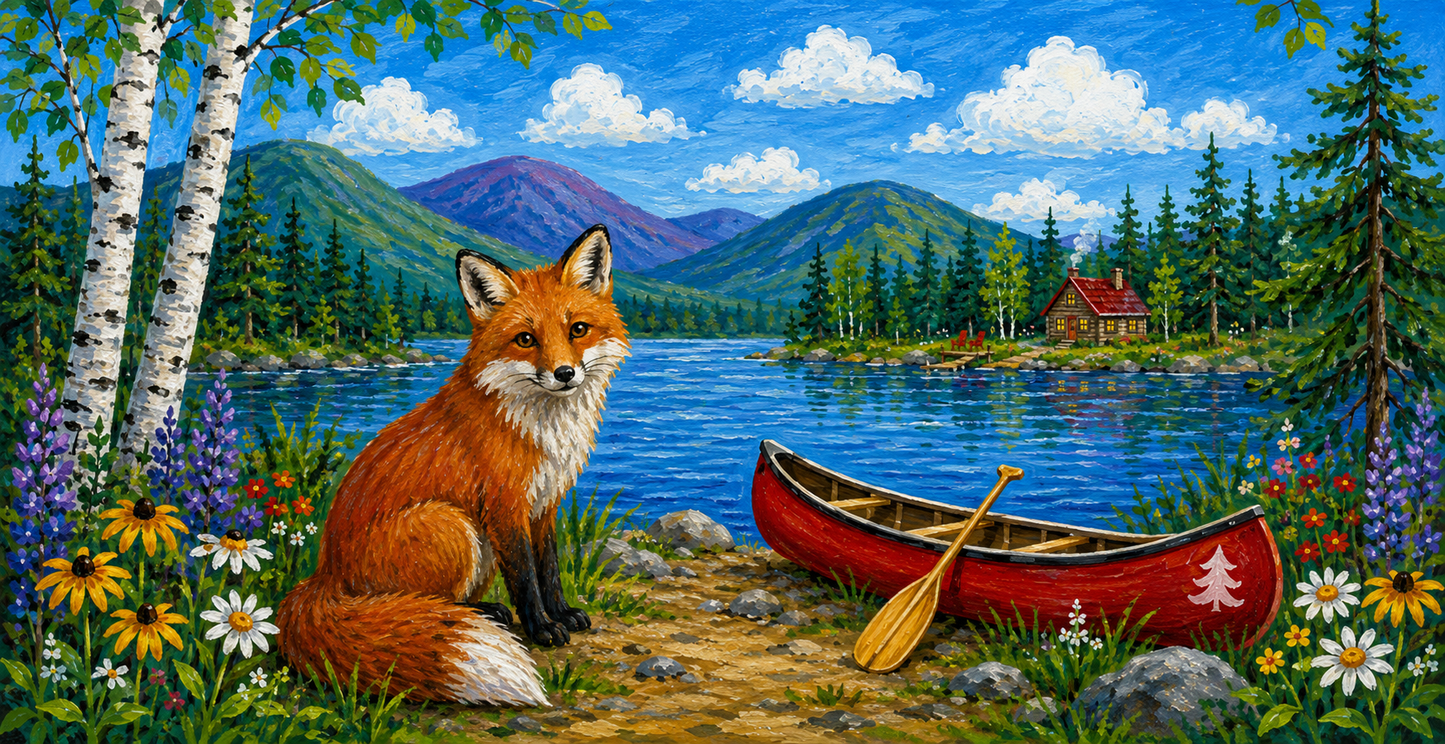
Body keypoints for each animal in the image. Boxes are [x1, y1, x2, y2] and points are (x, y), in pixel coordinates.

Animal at [277, 225, 630, 706]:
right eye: (526, 339)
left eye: (578, 330)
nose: (564, 374)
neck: (537, 428)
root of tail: (323, 575)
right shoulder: (505, 507)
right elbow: (526, 578)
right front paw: (541, 627)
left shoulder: (544, 503)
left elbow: (550, 569)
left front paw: (561, 613)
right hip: (454, 525)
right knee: (421, 606)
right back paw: (485, 613)